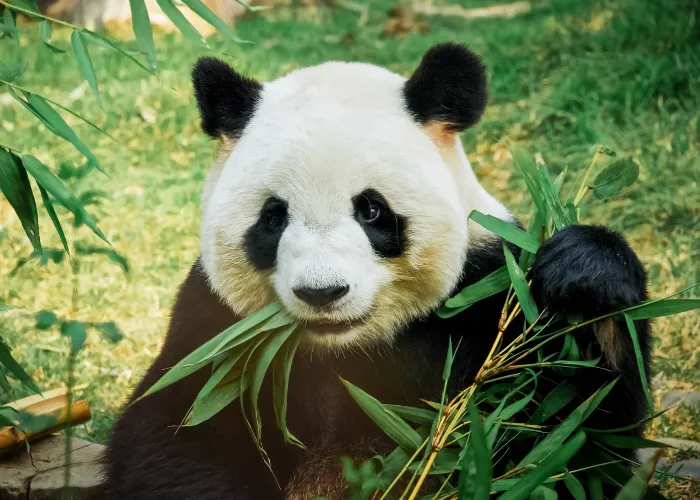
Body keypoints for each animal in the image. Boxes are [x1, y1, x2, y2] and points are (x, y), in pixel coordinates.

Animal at [105, 44, 652, 500]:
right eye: (274, 217)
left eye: (371, 211)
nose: (322, 292)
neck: (344, 348)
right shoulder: (216, 323)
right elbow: (177, 430)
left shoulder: (485, 295)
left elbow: (572, 432)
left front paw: (585, 275)